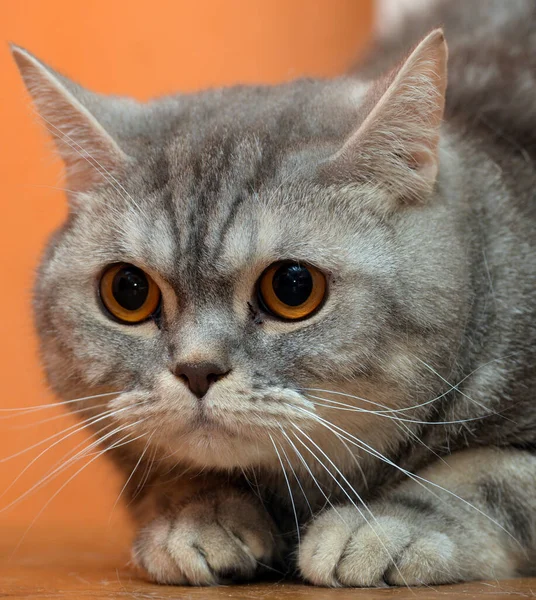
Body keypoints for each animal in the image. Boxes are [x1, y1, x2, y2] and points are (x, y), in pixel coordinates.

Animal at [11, 0, 536, 588]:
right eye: (128, 291)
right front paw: (199, 514)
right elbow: (170, 474)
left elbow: (486, 475)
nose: (198, 370)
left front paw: (383, 526)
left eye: (293, 287)